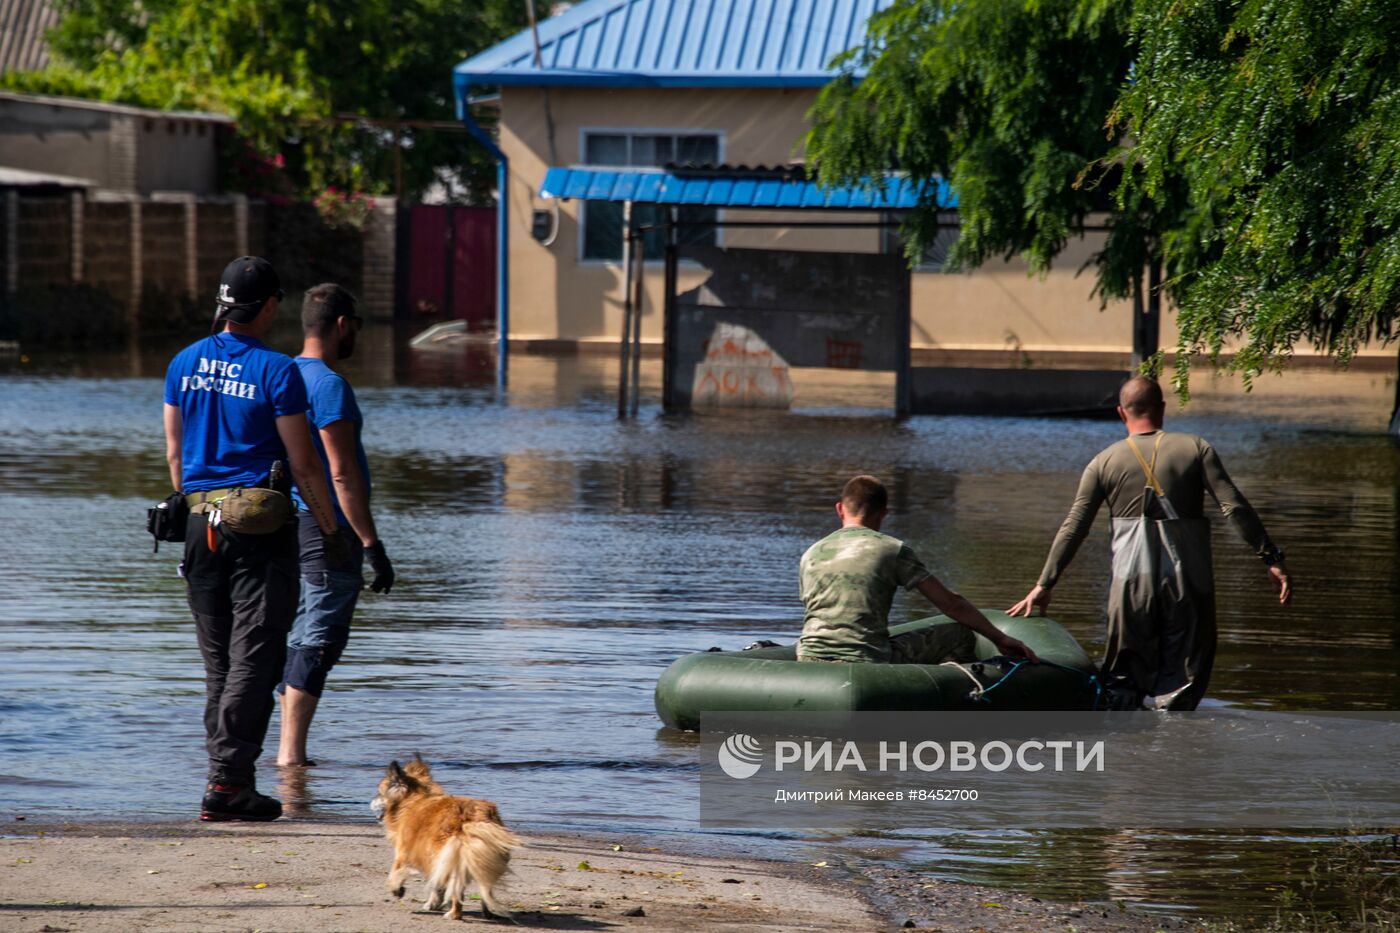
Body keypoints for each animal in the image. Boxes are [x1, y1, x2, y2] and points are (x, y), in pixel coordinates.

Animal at [372, 750, 520, 918]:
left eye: (379, 793)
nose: (371, 801)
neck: (415, 799)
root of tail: (473, 817)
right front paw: (433, 903)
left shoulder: (405, 852)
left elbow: (395, 872)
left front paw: (397, 889)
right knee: (485, 886)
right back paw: (486, 910)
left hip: (449, 856)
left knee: (457, 890)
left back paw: (454, 913)